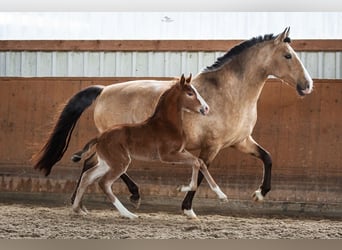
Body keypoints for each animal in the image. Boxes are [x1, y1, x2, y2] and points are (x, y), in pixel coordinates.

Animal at [70, 73, 227, 218]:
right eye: (190, 93)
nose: (206, 108)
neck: (167, 124)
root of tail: (99, 137)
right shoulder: (167, 155)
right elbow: (196, 163)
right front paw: (182, 187)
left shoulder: (180, 151)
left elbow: (200, 162)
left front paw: (222, 196)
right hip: (119, 162)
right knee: (104, 183)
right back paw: (128, 214)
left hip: (106, 162)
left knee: (87, 176)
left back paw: (78, 209)